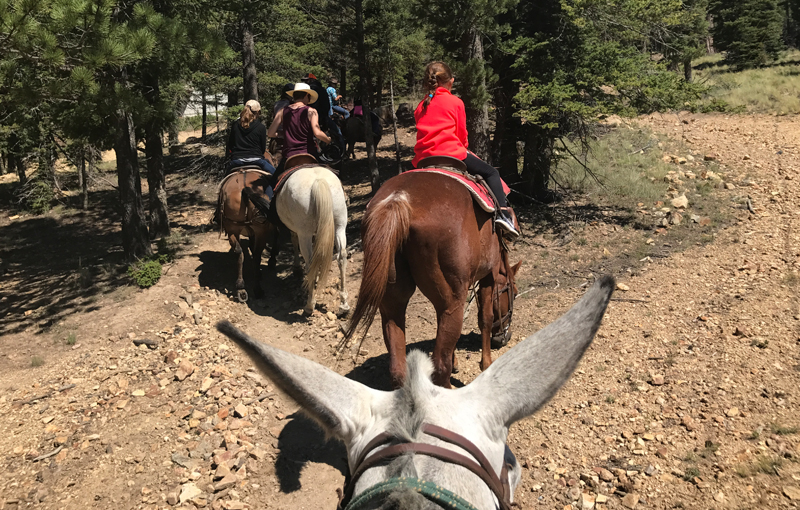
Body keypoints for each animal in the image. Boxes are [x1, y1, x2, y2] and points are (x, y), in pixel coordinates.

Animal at [220, 167, 280, 302]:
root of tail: (244, 189)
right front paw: (272, 261)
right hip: (261, 230)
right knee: (257, 255)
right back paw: (257, 289)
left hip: (233, 229)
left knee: (239, 252)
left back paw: (241, 288)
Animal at [276, 165, 348, 314]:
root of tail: (318, 181)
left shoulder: (296, 230)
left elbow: (294, 241)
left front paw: (297, 268)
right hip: (340, 225)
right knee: (342, 257)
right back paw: (344, 304)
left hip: (305, 233)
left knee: (310, 263)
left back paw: (310, 305)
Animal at [344, 171, 520, 386]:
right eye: (514, 293)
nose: (504, 338)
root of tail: (398, 200)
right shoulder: (489, 275)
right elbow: (484, 319)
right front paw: (486, 364)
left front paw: (456, 362)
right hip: (451, 302)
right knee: (439, 367)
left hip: (393, 302)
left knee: (398, 367)